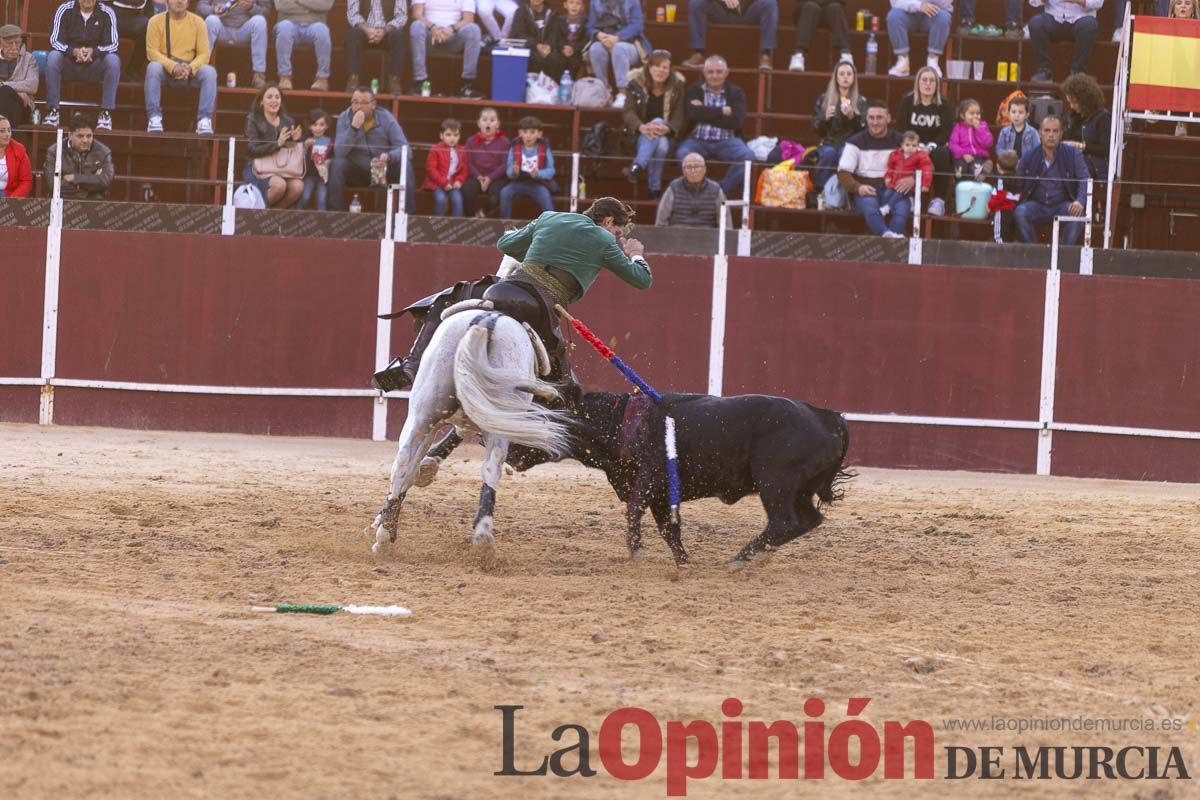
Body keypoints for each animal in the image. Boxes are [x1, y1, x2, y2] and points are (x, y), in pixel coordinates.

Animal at [369, 278, 571, 561]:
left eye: (420, 324)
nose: (405, 369)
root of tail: (486, 321)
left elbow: (415, 466)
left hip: (424, 412)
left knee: (404, 462)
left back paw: (387, 537)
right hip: (496, 419)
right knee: (489, 467)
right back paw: (482, 538)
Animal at [504, 393, 854, 563]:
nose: (509, 454)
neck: (621, 421)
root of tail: (829, 417)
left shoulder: (649, 480)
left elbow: (634, 512)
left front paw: (636, 554)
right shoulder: (660, 494)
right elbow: (669, 529)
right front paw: (684, 562)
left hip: (775, 483)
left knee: (784, 521)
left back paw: (740, 558)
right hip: (799, 490)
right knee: (807, 521)